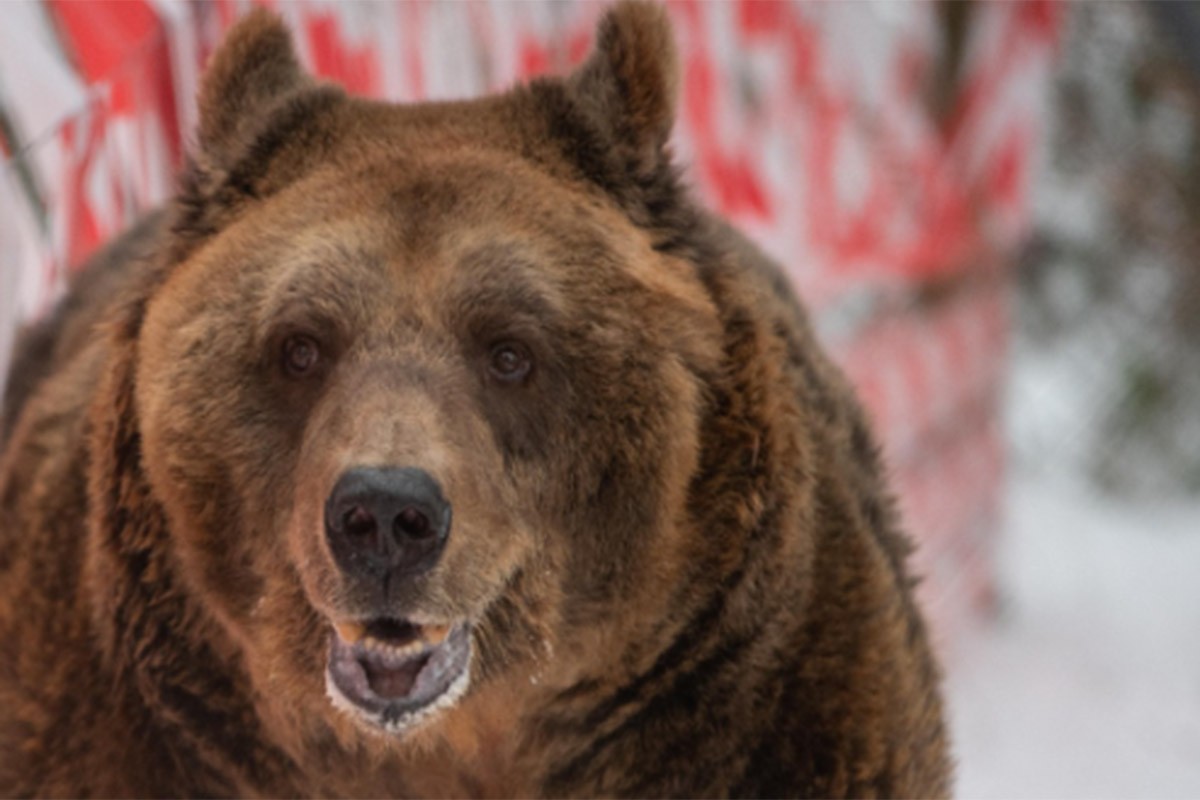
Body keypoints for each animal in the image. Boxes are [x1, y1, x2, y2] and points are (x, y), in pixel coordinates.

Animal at [0, 3, 955, 796]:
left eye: (510, 350)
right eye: (300, 345)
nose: (386, 515)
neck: (443, 745)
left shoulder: (768, 708)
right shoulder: (129, 724)